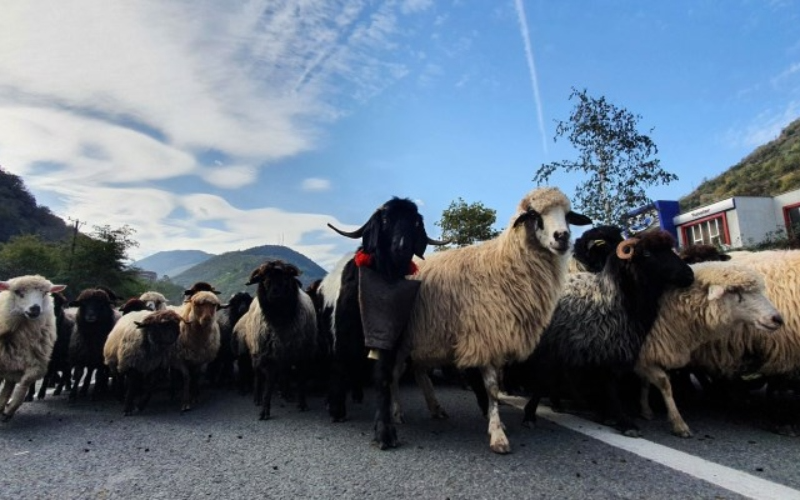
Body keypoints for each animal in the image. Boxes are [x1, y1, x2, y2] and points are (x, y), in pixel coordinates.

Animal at [0, 276, 65, 420]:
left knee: (9, 385)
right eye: (18, 292)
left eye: (45, 293)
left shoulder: (36, 363)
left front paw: (10, 410)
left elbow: (25, 383)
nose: (35, 308)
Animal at [396, 187, 592, 454]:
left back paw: (435, 408)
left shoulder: (499, 336)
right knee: (394, 373)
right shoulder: (485, 336)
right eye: (533, 214)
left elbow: (495, 389)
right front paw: (498, 434)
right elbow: (491, 387)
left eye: (568, 214)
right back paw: (396, 413)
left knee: (418, 370)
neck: (504, 263)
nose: (562, 236)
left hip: (425, 336)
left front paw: (495, 421)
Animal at [636, 262, 780, 438]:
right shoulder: (644, 353)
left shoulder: (647, 354)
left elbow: (646, 381)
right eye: (735, 291)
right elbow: (664, 384)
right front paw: (679, 424)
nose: (778, 319)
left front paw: (645, 409)